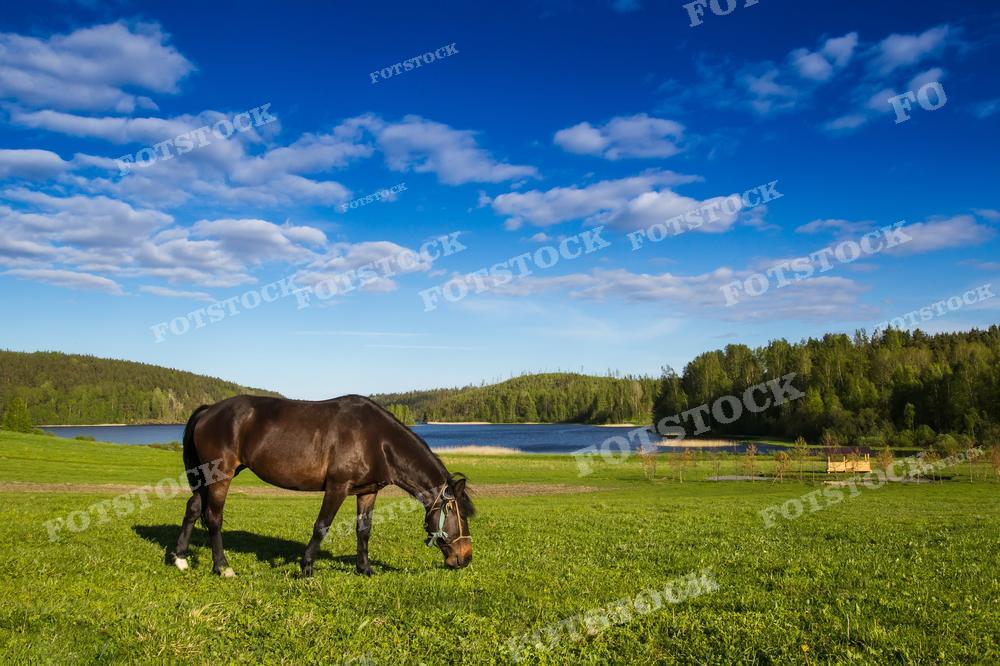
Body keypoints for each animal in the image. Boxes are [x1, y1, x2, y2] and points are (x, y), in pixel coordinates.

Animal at [169, 394, 474, 577]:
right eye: (459, 515)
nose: (465, 557)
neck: (376, 440)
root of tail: (210, 410)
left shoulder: (367, 491)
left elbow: (364, 531)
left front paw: (364, 568)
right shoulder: (337, 487)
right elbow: (322, 526)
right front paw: (306, 567)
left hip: (205, 477)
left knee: (193, 508)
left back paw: (180, 559)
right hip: (222, 477)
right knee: (213, 517)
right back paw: (222, 567)